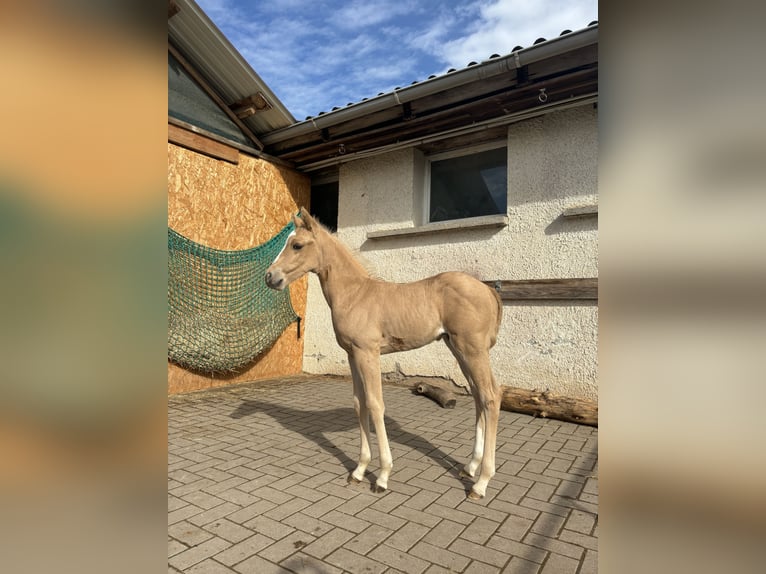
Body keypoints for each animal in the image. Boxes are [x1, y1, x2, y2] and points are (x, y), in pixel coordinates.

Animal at [268, 210, 508, 500]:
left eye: (297, 245)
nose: (270, 277)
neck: (355, 294)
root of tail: (488, 290)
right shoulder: (353, 355)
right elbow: (359, 403)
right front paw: (359, 470)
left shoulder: (368, 353)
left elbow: (375, 404)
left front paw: (382, 476)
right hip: (458, 349)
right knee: (478, 396)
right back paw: (470, 467)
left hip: (473, 349)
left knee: (491, 396)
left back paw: (481, 483)